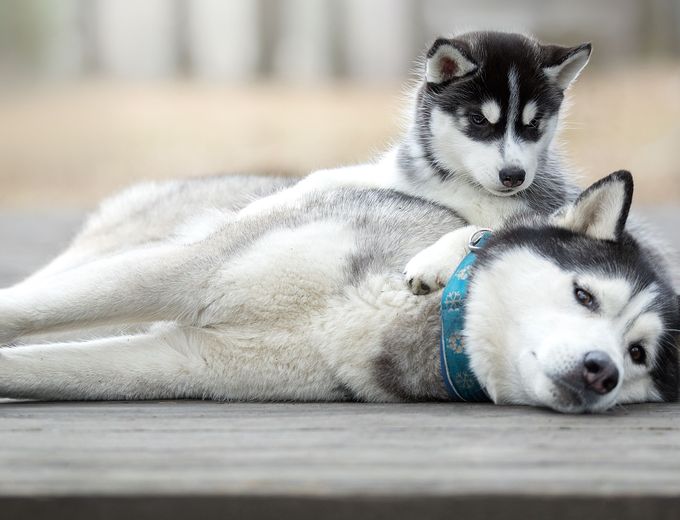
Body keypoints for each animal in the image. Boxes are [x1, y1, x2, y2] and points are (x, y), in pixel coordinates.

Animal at [242, 32, 592, 228]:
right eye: (478, 120)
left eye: (533, 124)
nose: (514, 176)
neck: (452, 181)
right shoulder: (395, 176)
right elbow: (320, 177)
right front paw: (252, 209)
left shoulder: (542, 210)